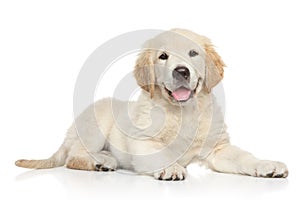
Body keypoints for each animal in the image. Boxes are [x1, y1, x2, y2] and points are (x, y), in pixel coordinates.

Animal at [14, 28, 288, 180]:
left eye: (193, 53)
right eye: (163, 56)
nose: (181, 71)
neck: (183, 113)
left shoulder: (218, 148)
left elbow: (244, 157)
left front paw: (267, 165)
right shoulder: (142, 140)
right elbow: (160, 154)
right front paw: (171, 168)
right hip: (95, 126)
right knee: (74, 156)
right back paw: (100, 162)